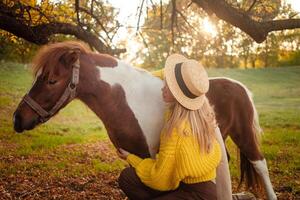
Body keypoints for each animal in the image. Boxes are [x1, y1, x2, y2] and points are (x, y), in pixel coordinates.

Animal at [13, 41, 276, 199]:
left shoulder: (150, 158)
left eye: (52, 80)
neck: (125, 98)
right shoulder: (134, 157)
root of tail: (240, 86)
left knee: (260, 165)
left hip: (245, 136)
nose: (18, 118)